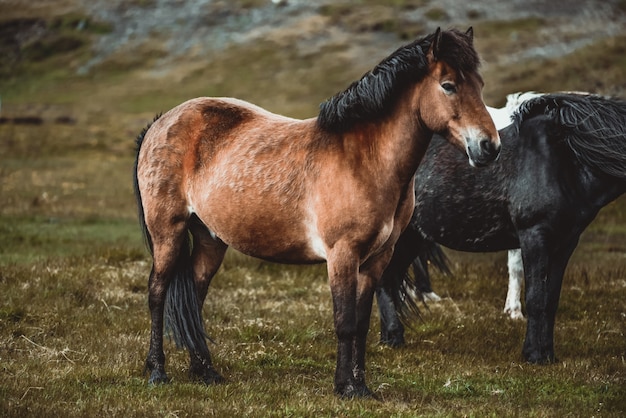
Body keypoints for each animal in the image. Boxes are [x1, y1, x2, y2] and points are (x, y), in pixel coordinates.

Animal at [135, 27, 498, 396]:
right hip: (168, 233)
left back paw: (204, 371)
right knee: (157, 293)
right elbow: (345, 322)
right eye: (448, 85)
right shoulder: (342, 255)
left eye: (480, 84)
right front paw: (344, 387)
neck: (364, 160)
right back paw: (157, 372)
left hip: (210, 239)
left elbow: (362, 323)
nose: (489, 147)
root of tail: (161, 123)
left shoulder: (376, 259)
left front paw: (361, 387)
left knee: (194, 296)